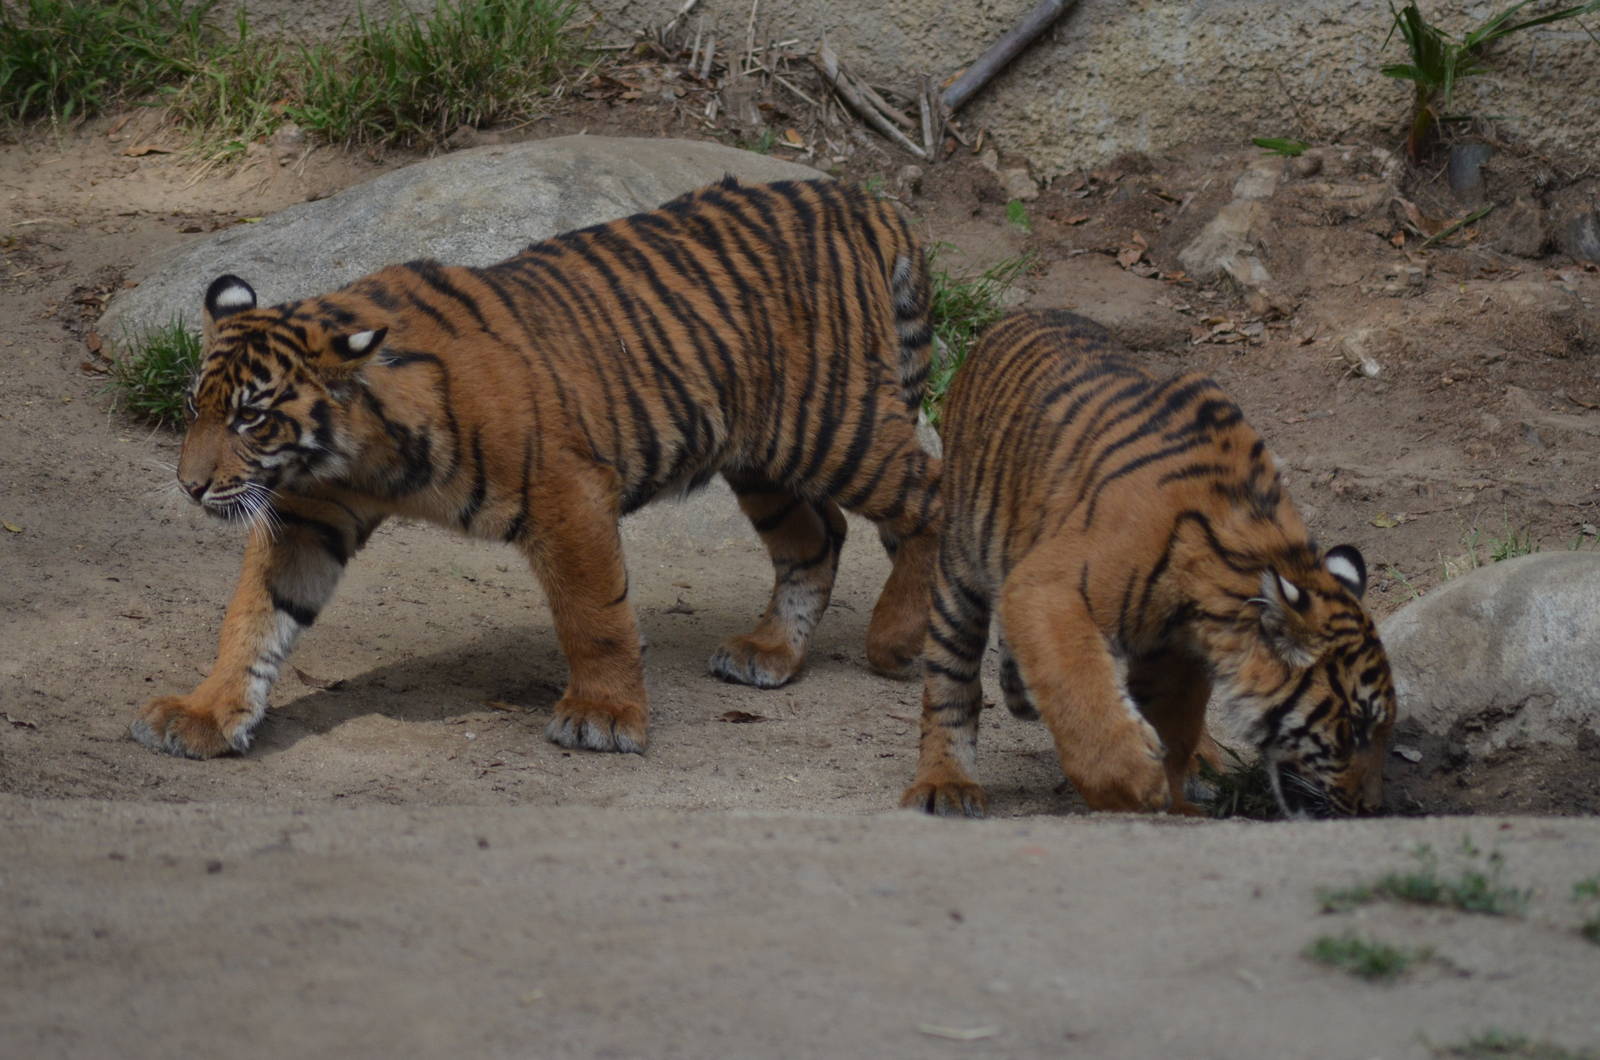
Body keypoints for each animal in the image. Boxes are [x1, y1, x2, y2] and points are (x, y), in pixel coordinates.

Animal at [130, 176, 941, 760]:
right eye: (196, 407)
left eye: (252, 419)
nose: (190, 486)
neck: (357, 453)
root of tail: (863, 199)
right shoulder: (308, 516)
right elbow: (254, 618)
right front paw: (203, 715)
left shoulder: (568, 494)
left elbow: (594, 616)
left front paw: (604, 716)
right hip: (763, 458)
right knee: (818, 537)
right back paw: (771, 653)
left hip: (832, 426)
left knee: (929, 495)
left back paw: (900, 639)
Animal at [902, 309, 1396, 818]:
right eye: (1356, 726)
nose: (1373, 808)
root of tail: (1018, 315)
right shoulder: (1049, 586)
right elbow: (1080, 689)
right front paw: (1132, 784)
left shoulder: (1175, 653)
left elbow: (1173, 725)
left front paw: (1172, 801)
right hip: (962, 567)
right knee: (950, 680)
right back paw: (947, 784)